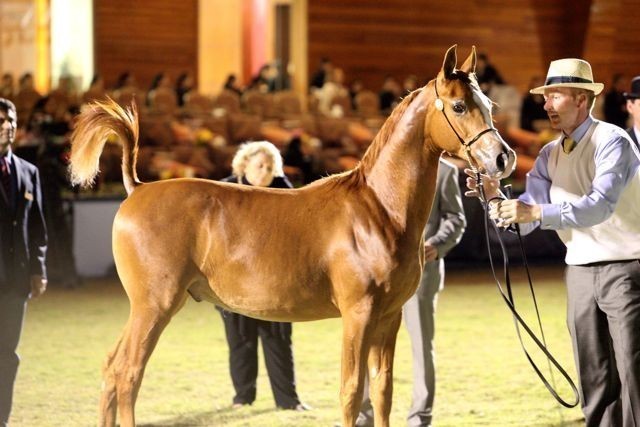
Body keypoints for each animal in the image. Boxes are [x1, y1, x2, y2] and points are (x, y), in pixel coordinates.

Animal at [69, 45, 516, 427]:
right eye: (458, 106)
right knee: (128, 373)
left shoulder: (388, 320)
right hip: (154, 306)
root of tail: (137, 187)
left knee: (111, 369)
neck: (377, 209)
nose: (503, 158)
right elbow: (351, 393)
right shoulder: (358, 315)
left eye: (489, 105)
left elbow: (383, 392)